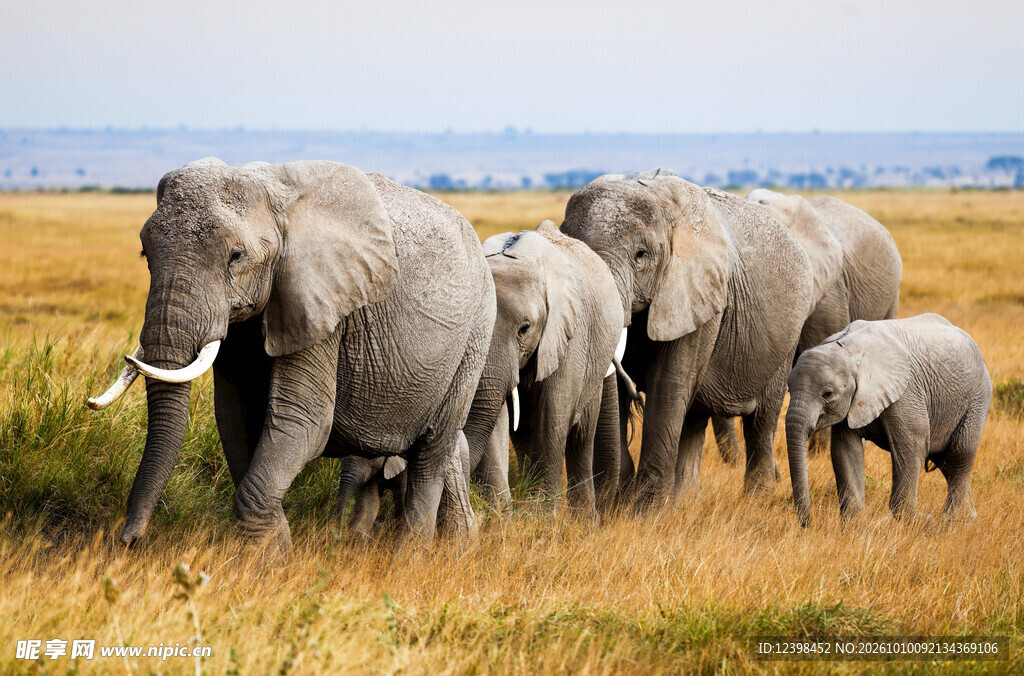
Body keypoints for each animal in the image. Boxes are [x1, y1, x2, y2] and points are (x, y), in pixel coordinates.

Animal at [86, 158, 494, 551]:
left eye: (236, 256)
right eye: (145, 254)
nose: (130, 541)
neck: (270, 191)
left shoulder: (322, 305)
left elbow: (303, 418)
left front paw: (274, 558)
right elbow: (236, 416)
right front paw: (273, 549)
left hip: (475, 335)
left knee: (432, 453)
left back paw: (411, 557)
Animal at [560, 169, 815, 507]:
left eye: (641, 255)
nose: (616, 494)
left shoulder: (700, 295)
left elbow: (668, 384)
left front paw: (644, 511)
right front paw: (624, 504)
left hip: (786, 337)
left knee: (761, 418)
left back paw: (754, 501)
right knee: (695, 415)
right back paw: (685, 501)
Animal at [785, 314, 991, 526]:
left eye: (827, 394)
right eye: (788, 388)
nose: (808, 523)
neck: (848, 348)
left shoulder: (906, 392)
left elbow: (912, 446)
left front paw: (925, 523)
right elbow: (845, 450)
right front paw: (855, 526)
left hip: (978, 396)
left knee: (960, 455)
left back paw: (955, 523)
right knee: (947, 464)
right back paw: (969, 521)